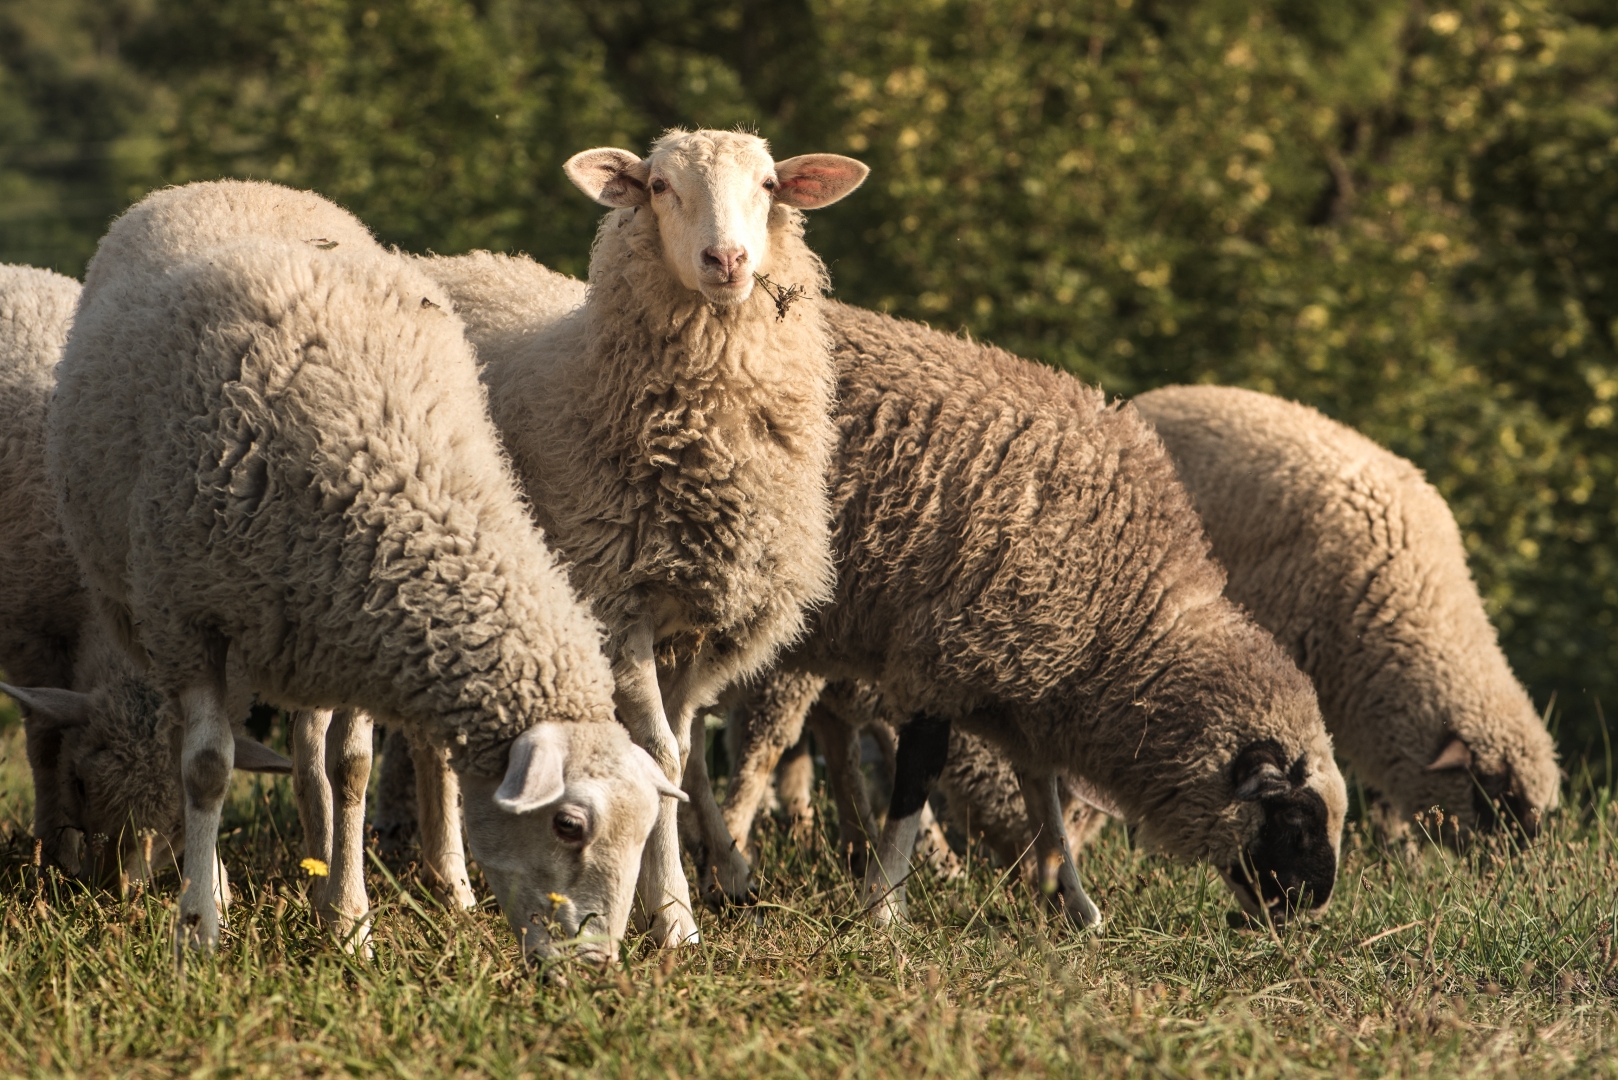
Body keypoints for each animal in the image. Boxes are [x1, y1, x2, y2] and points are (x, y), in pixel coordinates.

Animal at [0, 263, 289, 893]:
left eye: (178, 816)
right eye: (81, 783)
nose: (116, 892)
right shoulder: (34, 638)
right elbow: (42, 743)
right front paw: (49, 848)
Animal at [52, 179, 682, 965]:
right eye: (569, 825)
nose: (594, 968)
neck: (386, 455)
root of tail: (233, 184)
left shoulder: (355, 620)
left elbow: (351, 768)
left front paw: (350, 923)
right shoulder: (189, 617)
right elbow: (205, 769)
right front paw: (199, 928)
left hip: (294, 627)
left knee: (306, 750)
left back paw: (320, 869)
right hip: (146, 608)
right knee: (182, 743)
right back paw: (217, 882)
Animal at [420, 131, 873, 945]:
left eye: (768, 184)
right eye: (660, 186)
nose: (726, 260)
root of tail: (454, 259)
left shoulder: (699, 624)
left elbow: (684, 749)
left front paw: (694, 892)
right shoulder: (614, 604)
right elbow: (657, 752)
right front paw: (674, 920)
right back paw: (452, 881)